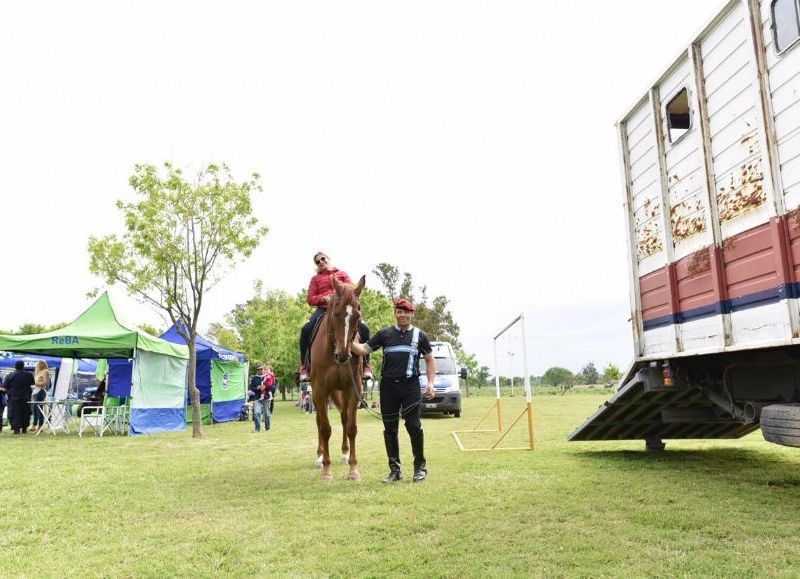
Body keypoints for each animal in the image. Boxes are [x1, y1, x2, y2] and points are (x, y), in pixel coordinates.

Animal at [310, 274, 366, 482]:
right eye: (335, 314)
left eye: (357, 316)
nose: (343, 356)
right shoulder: (319, 391)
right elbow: (325, 428)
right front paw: (327, 470)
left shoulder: (354, 389)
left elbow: (351, 427)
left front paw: (353, 469)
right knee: (319, 422)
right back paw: (319, 458)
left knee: (343, 417)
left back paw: (344, 453)